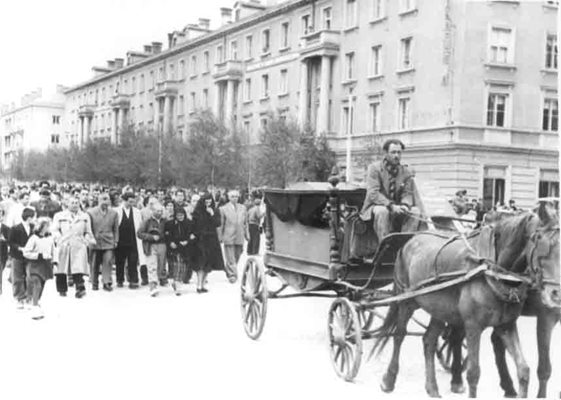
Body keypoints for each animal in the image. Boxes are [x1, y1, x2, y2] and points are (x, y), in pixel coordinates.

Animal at [370, 205, 556, 398]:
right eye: (542, 242)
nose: (554, 293)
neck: (491, 271)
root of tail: (410, 240)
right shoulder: (473, 326)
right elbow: (473, 373)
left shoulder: (506, 325)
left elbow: (523, 369)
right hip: (407, 302)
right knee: (399, 335)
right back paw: (389, 380)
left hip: (439, 309)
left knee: (429, 340)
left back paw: (432, 387)